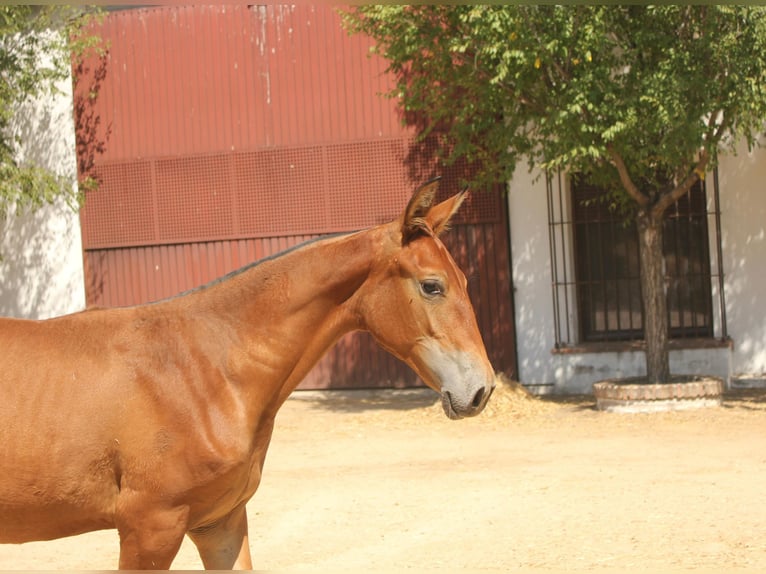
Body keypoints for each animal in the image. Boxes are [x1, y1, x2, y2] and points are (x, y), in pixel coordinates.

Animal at [0, 178, 495, 569]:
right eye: (432, 286)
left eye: (466, 282)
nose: (482, 390)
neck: (206, 370)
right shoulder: (149, 528)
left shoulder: (220, 523)